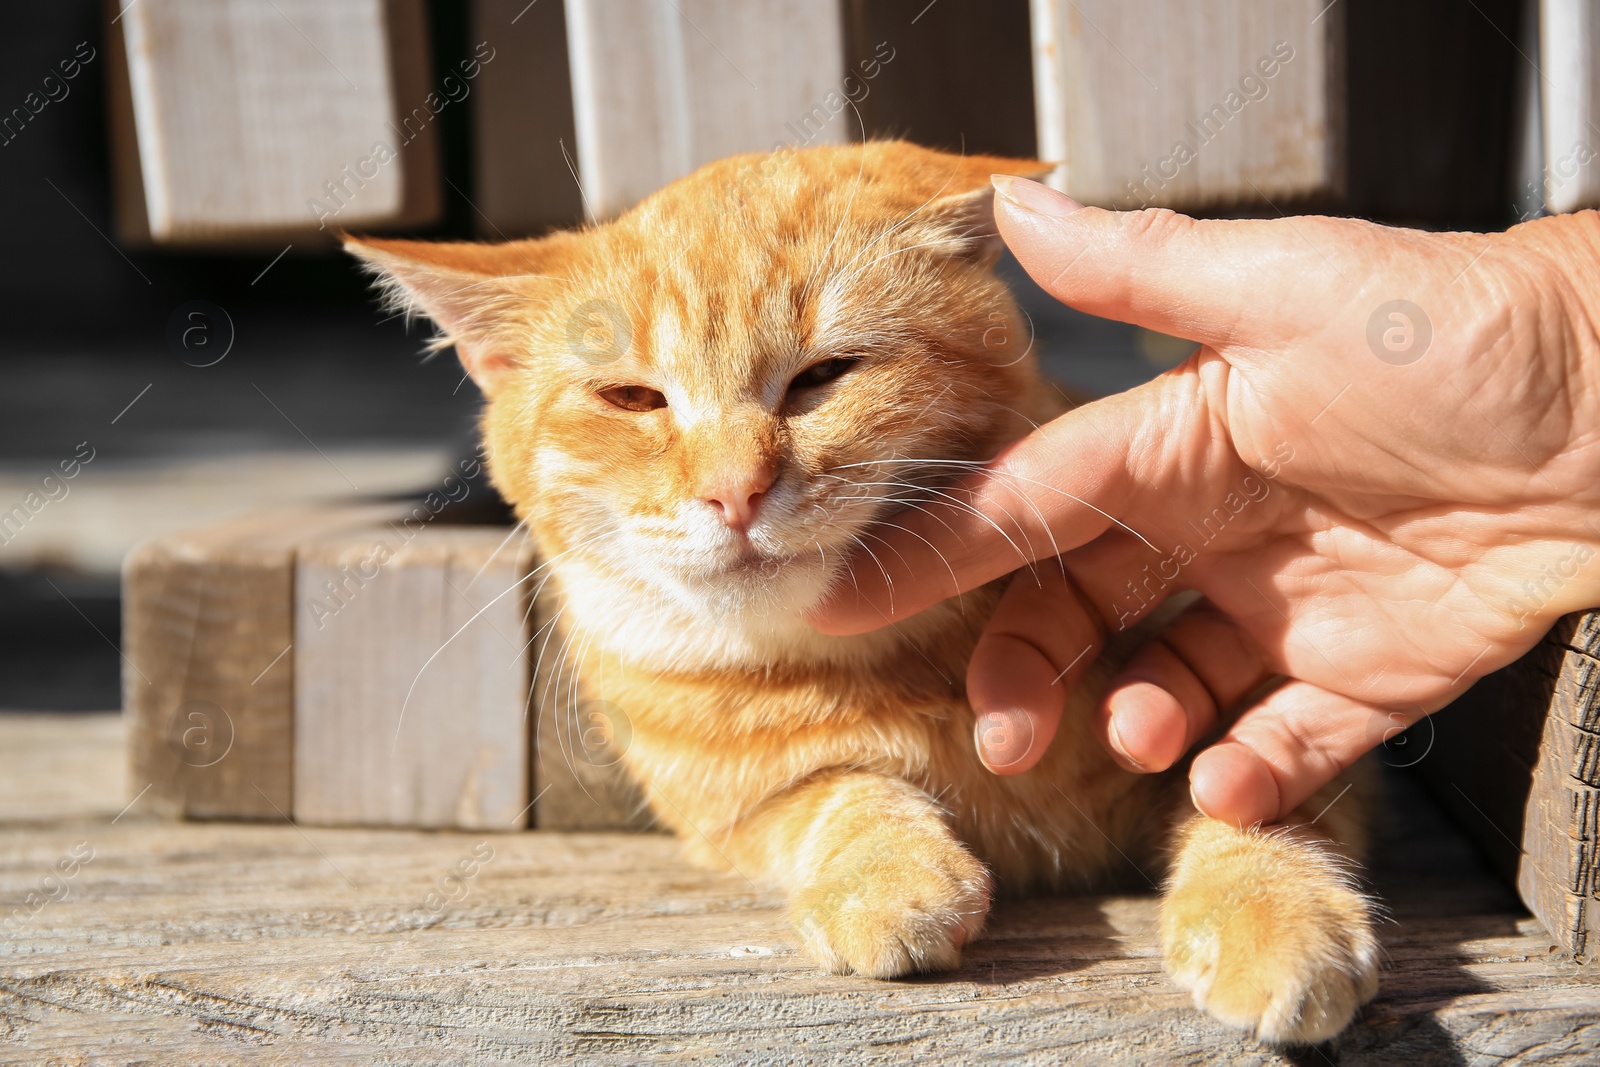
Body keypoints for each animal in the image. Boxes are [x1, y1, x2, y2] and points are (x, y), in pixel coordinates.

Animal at [347, 141, 1376, 1043]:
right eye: (633, 399)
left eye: (823, 377)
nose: (735, 490)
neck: (898, 667)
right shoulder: (736, 814)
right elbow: (839, 791)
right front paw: (886, 874)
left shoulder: (1250, 716)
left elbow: (1248, 804)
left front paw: (1271, 923)